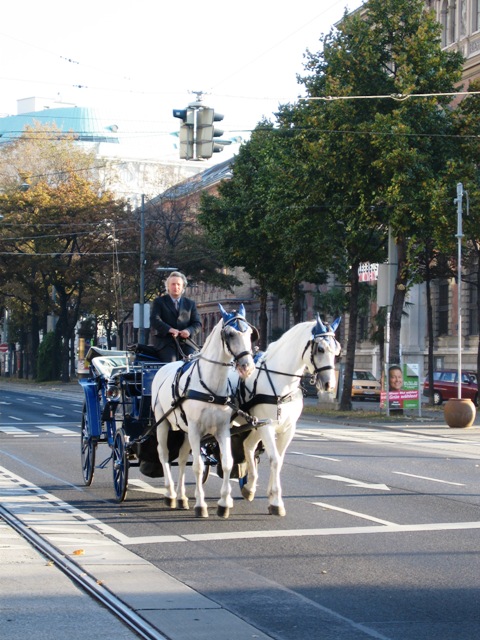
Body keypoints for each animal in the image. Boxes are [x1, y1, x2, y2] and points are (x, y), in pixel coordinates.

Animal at [151, 302, 256, 516]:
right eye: (230, 334)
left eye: (250, 333)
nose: (247, 367)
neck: (211, 387)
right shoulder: (195, 429)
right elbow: (199, 467)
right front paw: (201, 505)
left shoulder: (222, 429)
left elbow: (227, 462)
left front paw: (224, 504)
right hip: (163, 423)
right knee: (163, 453)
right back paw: (170, 494)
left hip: (184, 430)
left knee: (183, 457)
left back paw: (181, 497)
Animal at [233, 316, 340, 516]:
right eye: (320, 349)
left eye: (337, 350)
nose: (329, 385)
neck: (281, 383)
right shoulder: (267, 426)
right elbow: (274, 459)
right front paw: (276, 501)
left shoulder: (287, 429)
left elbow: (279, 460)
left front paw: (272, 496)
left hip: (254, 426)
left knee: (248, 445)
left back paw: (249, 487)